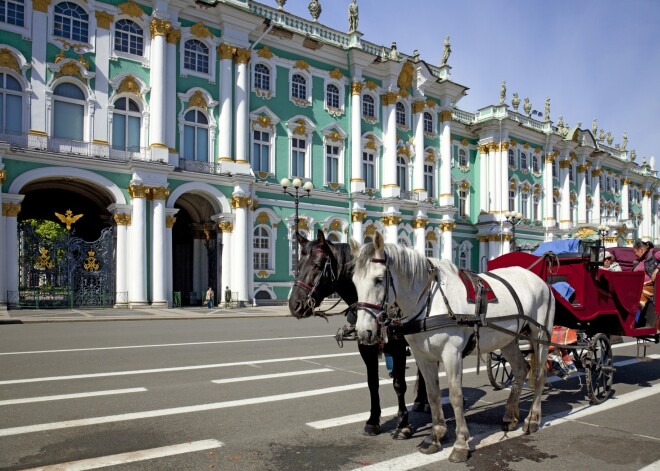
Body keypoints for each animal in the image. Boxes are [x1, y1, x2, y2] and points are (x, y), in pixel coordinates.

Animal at [288, 230, 428, 436]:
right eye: (297, 265)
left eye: (318, 265)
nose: (294, 305)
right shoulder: (365, 346)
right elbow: (372, 383)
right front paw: (373, 421)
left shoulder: (398, 348)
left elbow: (399, 384)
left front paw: (403, 424)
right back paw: (420, 400)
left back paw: (422, 402)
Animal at [350, 234, 556, 462]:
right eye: (354, 282)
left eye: (378, 279)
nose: (364, 332)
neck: (431, 302)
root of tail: (540, 281)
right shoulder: (423, 357)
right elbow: (433, 395)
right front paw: (435, 437)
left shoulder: (452, 355)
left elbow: (456, 397)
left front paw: (460, 444)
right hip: (508, 340)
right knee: (521, 370)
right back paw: (510, 416)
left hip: (540, 337)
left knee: (539, 374)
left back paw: (532, 419)